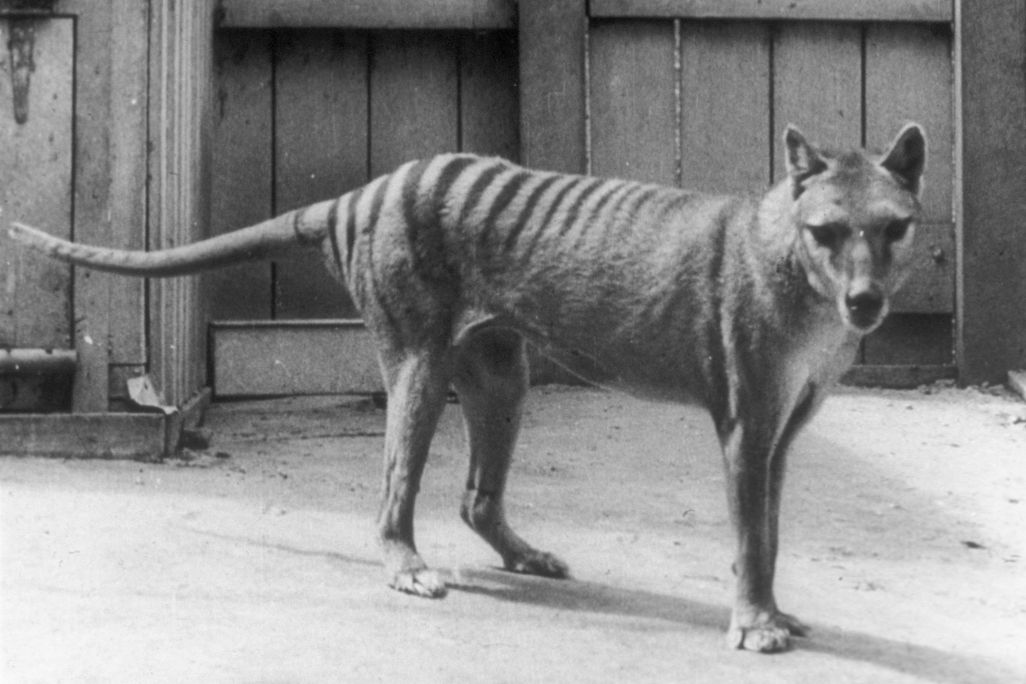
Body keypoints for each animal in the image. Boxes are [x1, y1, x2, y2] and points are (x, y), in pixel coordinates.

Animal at [8, 123, 926, 652]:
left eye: (894, 227)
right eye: (827, 231)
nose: (866, 302)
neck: (788, 261)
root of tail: (364, 193)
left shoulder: (780, 433)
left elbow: (769, 534)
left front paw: (771, 611)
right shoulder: (743, 426)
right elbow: (751, 538)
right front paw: (751, 623)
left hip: (501, 374)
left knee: (477, 498)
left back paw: (521, 553)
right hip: (417, 364)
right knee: (394, 493)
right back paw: (405, 565)